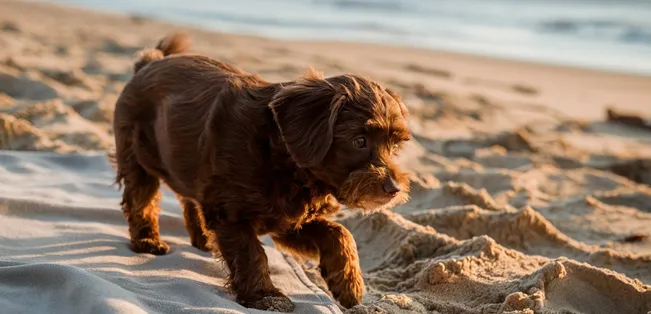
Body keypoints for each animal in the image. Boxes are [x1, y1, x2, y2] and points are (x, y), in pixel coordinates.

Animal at [109, 31, 410, 312]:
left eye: (395, 145)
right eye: (359, 141)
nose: (394, 189)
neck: (282, 156)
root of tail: (148, 63)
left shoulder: (289, 221)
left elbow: (339, 232)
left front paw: (348, 283)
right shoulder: (231, 212)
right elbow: (250, 253)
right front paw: (266, 297)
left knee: (188, 197)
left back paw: (203, 238)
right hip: (136, 155)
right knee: (141, 199)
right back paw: (147, 241)